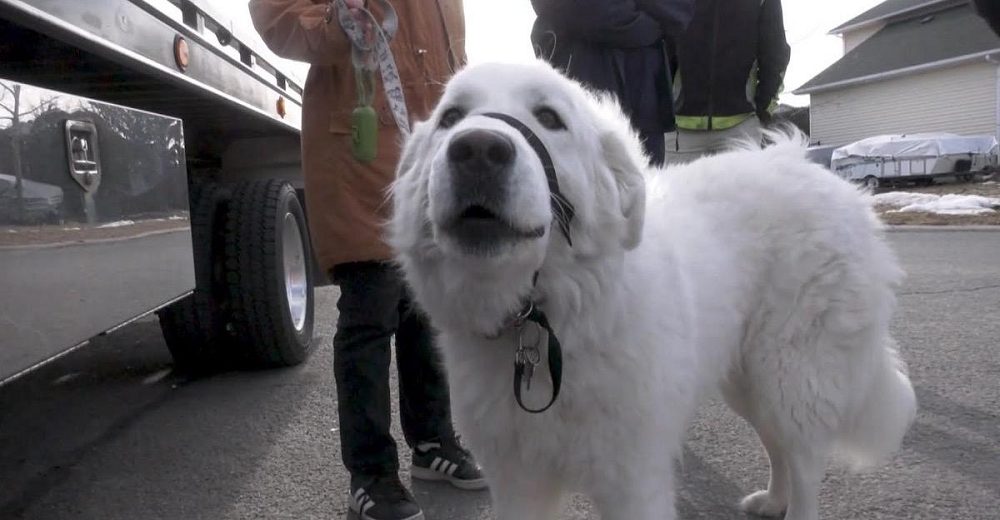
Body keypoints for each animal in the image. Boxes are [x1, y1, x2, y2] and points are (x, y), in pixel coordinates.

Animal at [386, 62, 916, 520]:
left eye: (549, 118)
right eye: (450, 118)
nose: (477, 149)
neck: (548, 319)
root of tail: (836, 185)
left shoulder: (632, 480)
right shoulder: (518, 481)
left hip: (793, 376)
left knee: (804, 465)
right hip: (748, 379)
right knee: (777, 446)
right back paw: (771, 500)